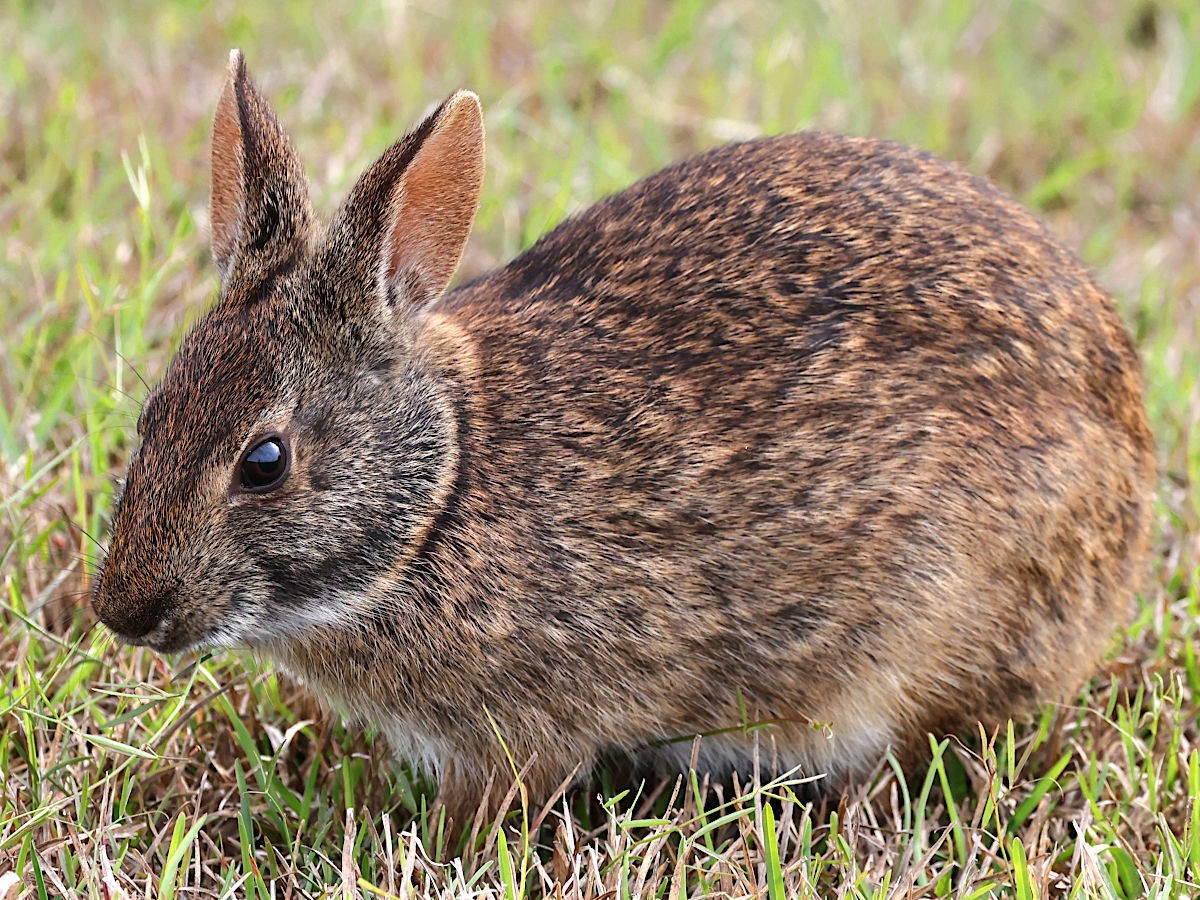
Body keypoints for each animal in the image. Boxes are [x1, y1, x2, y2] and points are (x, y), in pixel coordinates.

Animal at [92, 50, 1156, 826]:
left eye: (263, 464)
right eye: (153, 416)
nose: (125, 612)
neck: (439, 499)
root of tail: (1131, 440)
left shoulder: (524, 731)